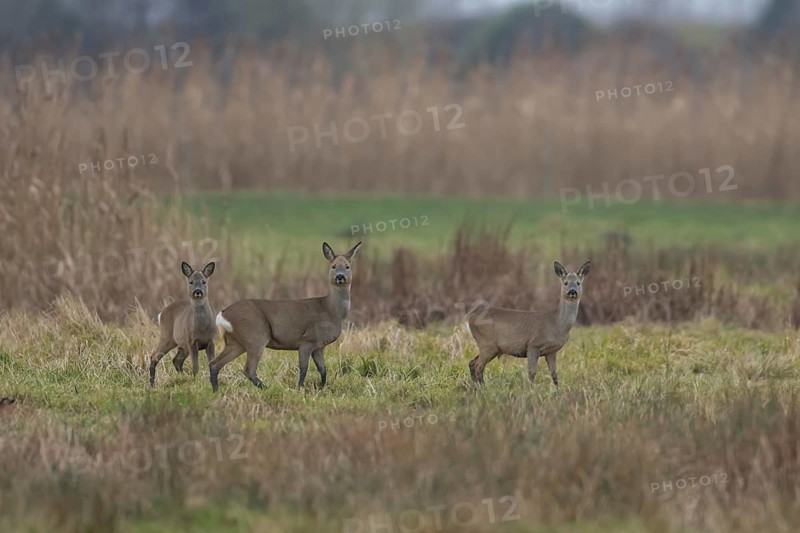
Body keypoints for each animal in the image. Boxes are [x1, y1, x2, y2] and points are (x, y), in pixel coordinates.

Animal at [209, 241, 362, 392]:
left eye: (347, 266)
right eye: (333, 266)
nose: (340, 277)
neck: (331, 310)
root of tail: (223, 314)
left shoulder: (319, 346)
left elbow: (323, 370)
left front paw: (320, 388)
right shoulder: (307, 339)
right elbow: (304, 368)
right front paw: (300, 389)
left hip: (236, 342)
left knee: (215, 363)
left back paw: (216, 390)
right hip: (256, 335)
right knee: (248, 369)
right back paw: (267, 388)